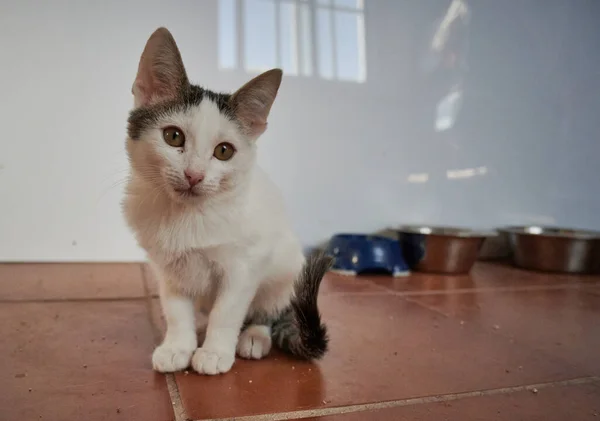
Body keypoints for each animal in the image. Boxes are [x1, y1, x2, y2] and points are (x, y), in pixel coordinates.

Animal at [120, 27, 330, 376]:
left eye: (224, 151)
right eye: (173, 136)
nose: (194, 175)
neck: (188, 216)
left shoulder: (245, 265)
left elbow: (227, 311)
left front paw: (215, 351)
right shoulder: (168, 267)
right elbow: (176, 310)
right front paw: (178, 346)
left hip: (286, 270)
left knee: (269, 311)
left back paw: (255, 336)